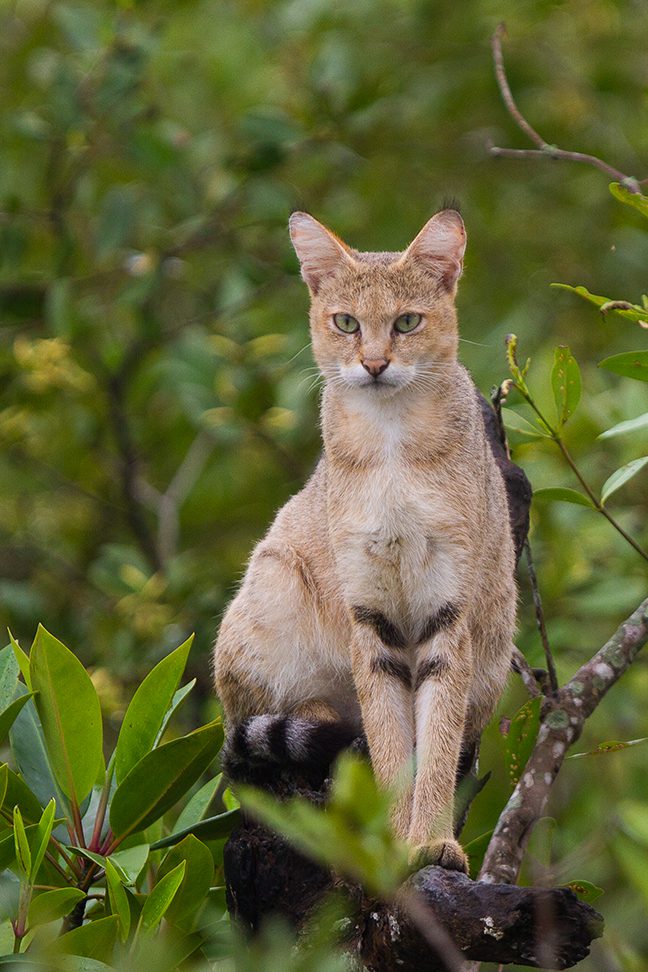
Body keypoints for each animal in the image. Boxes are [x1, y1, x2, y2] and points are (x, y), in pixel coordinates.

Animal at [214, 209, 516, 868]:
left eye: (407, 322)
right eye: (346, 322)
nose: (374, 364)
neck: (392, 444)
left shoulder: (447, 613)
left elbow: (435, 747)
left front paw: (432, 842)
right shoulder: (368, 618)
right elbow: (387, 744)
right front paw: (396, 843)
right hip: (271, 586)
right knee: (280, 716)